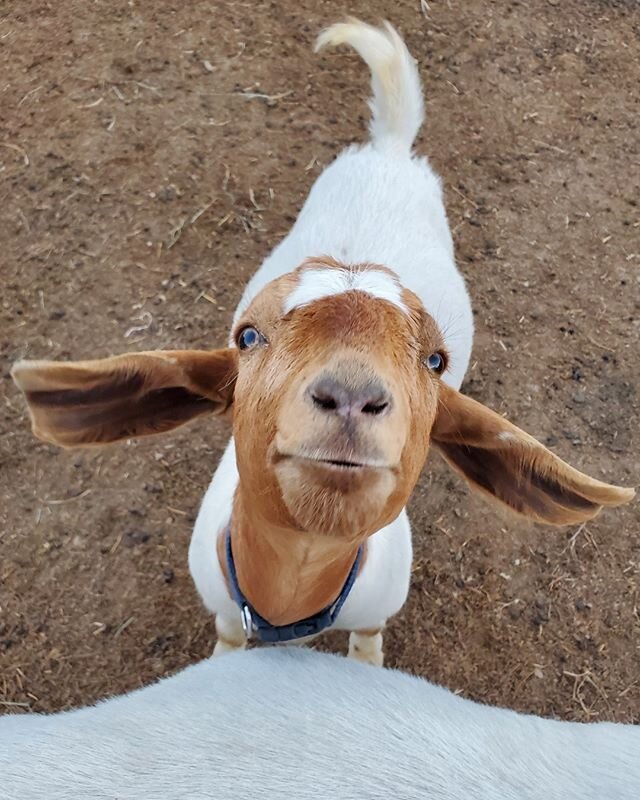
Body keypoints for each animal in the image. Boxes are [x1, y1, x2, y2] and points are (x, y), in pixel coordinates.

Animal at [11, 21, 636, 664]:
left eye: (435, 359)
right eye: (248, 335)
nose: (352, 397)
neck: (289, 610)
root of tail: (389, 149)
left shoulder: (376, 608)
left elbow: (367, 641)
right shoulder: (224, 603)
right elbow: (227, 636)